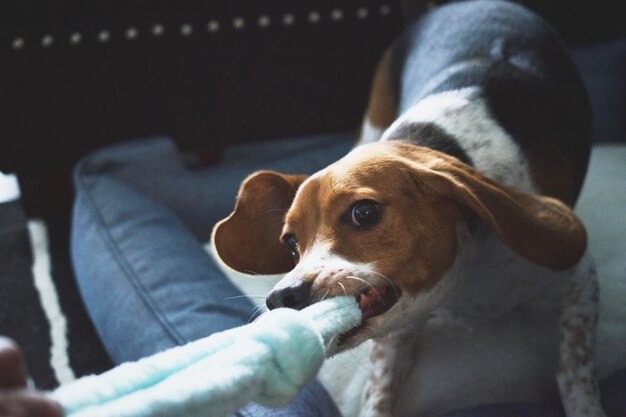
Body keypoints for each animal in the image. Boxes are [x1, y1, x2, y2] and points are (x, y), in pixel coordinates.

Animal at [211, 0, 604, 416]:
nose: (281, 298)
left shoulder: (579, 282)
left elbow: (575, 376)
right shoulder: (394, 336)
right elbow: (378, 389)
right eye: (290, 243)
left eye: (363, 213)